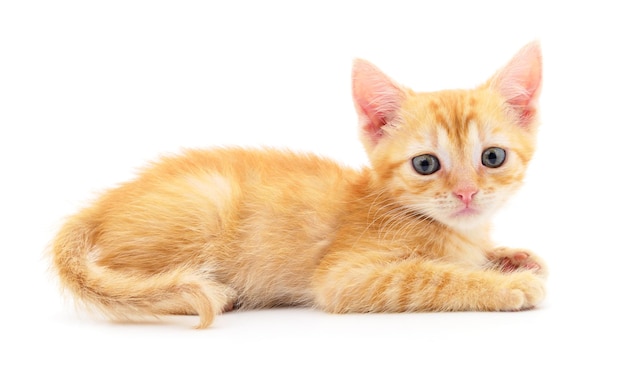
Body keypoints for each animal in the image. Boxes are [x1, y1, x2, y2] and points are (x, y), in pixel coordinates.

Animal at [48, 41, 544, 330]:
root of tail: (106, 202)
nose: (466, 193)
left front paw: (510, 257)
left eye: (492, 157)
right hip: (208, 203)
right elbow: (428, 276)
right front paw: (504, 286)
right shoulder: (345, 276)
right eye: (425, 164)